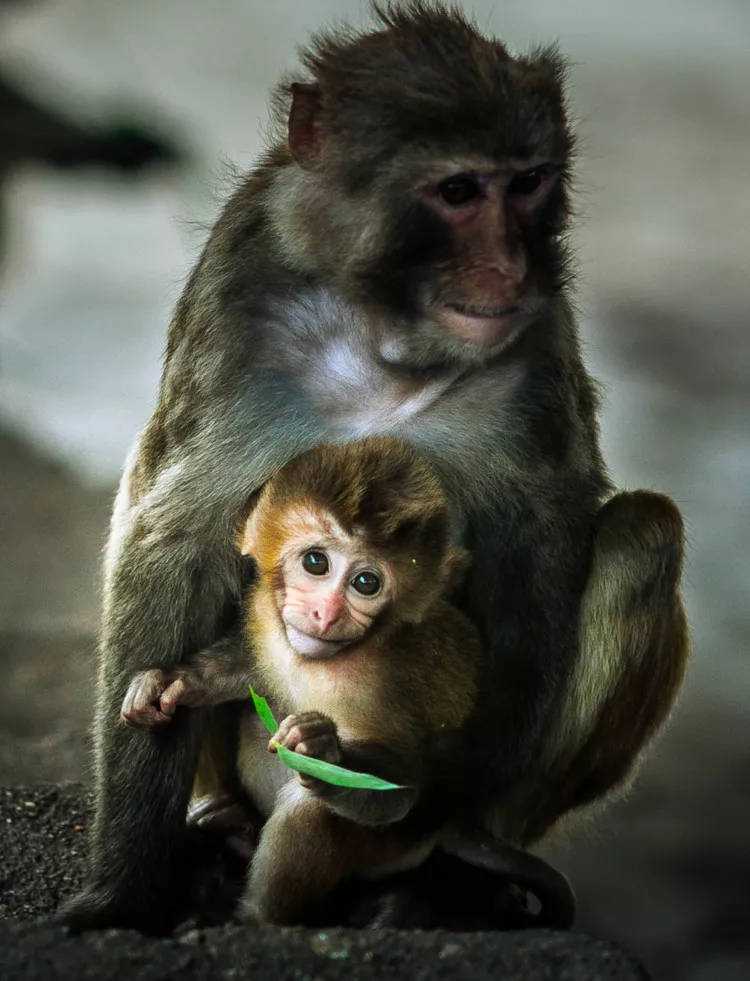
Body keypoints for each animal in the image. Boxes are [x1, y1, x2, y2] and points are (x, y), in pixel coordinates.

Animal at [123, 436, 488, 928]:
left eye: (366, 583)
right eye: (316, 562)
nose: (325, 613)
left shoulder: (393, 684)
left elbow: (400, 788)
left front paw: (322, 750)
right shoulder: (264, 615)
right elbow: (246, 671)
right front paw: (174, 682)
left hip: (391, 851)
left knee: (311, 808)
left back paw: (253, 916)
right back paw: (230, 823)